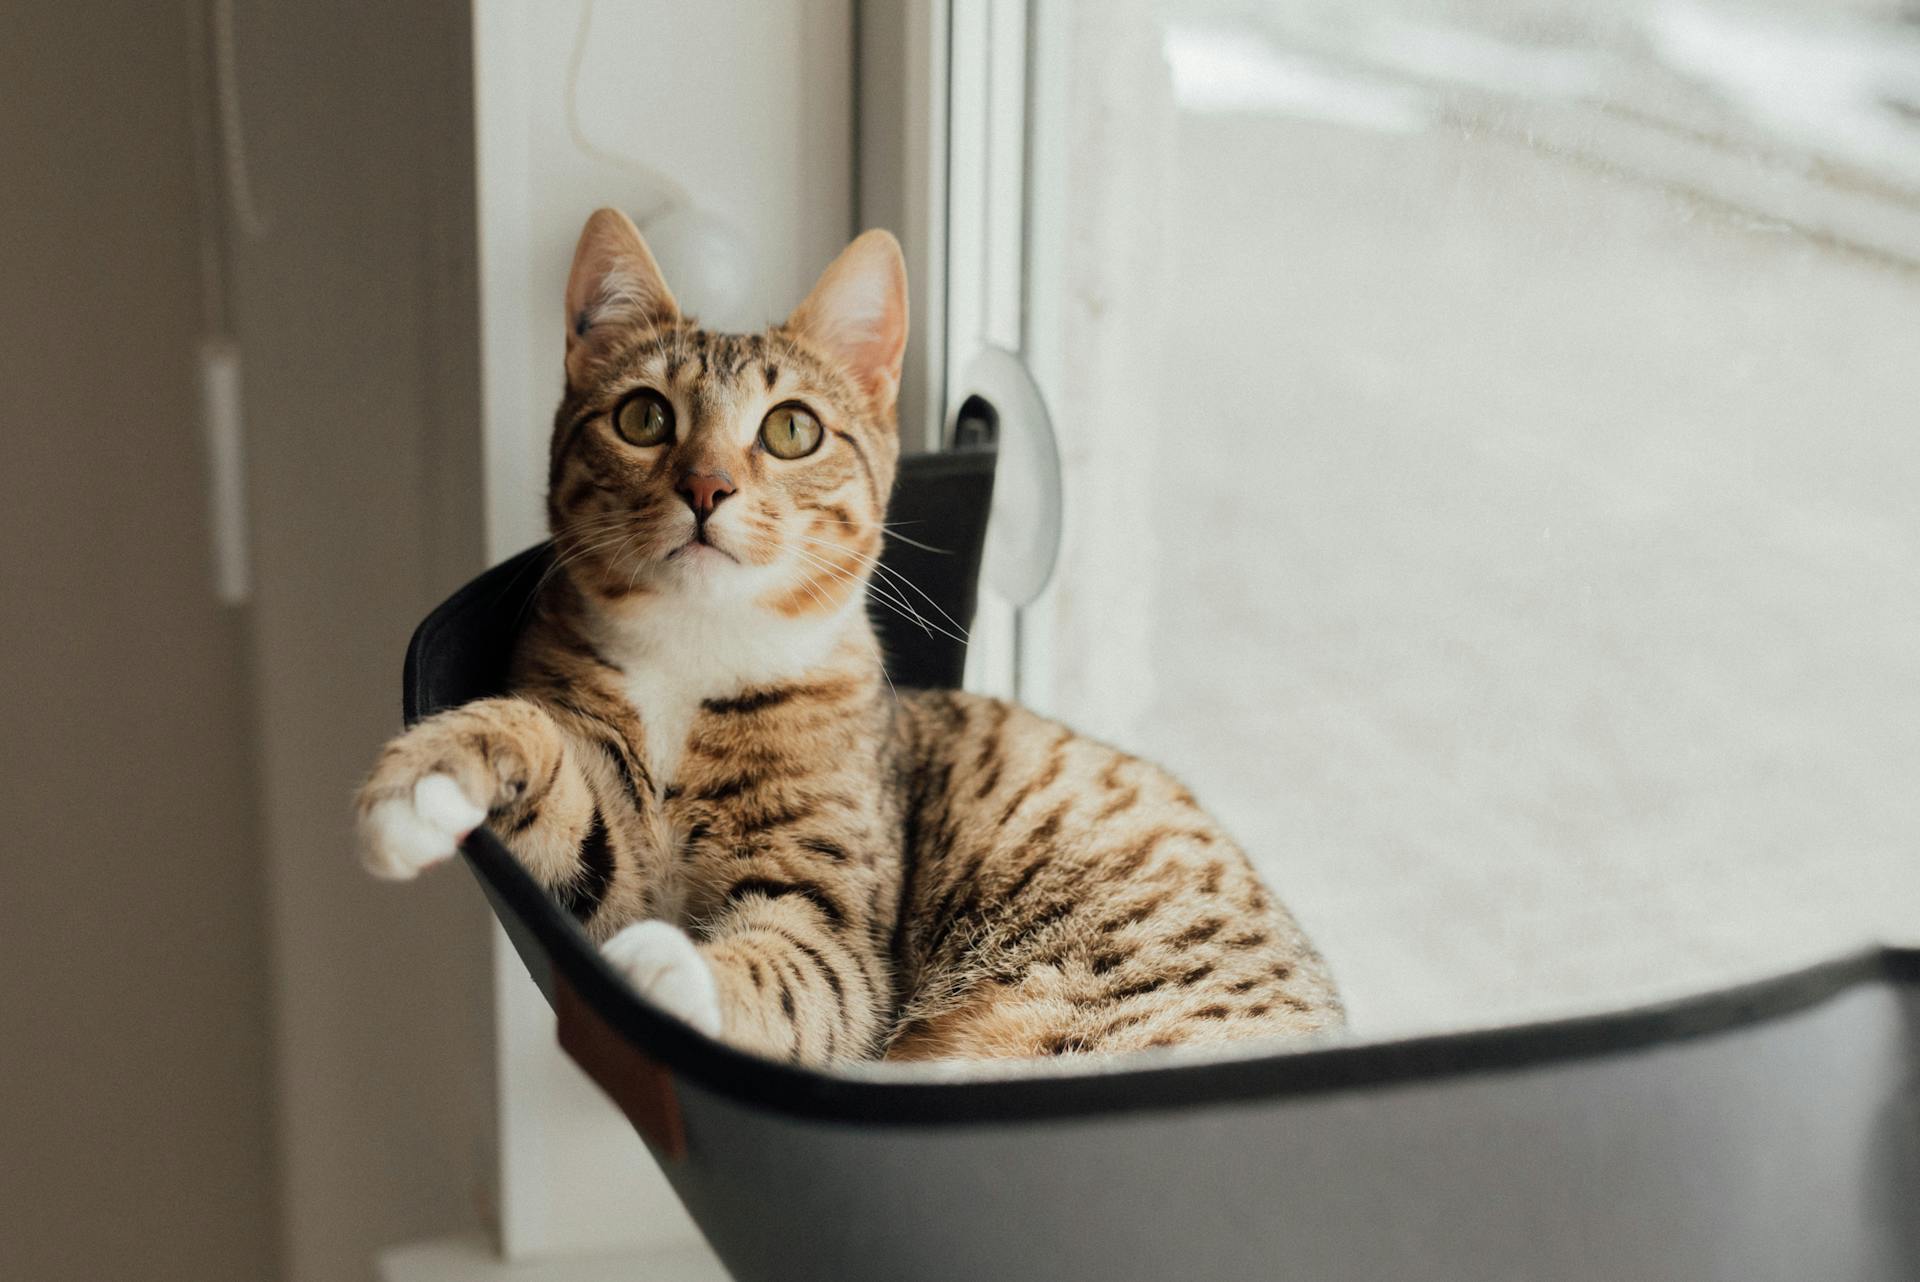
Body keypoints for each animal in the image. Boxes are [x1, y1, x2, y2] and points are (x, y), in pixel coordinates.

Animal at [357, 208, 1336, 1059]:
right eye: (643, 417)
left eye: (792, 429)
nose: (706, 486)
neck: (693, 658)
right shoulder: (614, 865)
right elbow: (557, 775)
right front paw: (436, 772)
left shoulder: (837, 920)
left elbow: (794, 969)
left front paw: (672, 974)